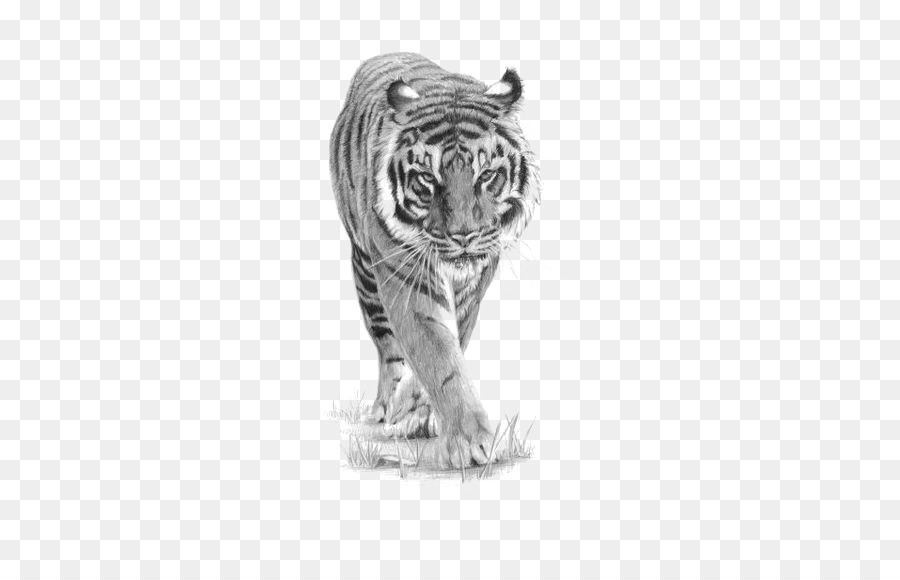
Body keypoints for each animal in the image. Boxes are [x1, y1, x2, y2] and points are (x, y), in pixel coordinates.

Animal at [329, 53, 539, 468]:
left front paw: (418, 412)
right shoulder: (406, 274)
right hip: (366, 273)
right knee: (389, 350)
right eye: (427, 178)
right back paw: (386, 407)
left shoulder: (476, 280)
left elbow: (454, 338)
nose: (463, 235)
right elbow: (438, 355)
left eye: (486, 175)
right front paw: (471, 442)